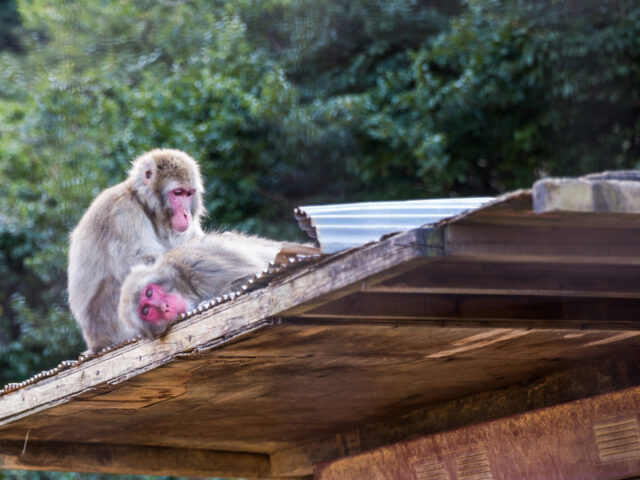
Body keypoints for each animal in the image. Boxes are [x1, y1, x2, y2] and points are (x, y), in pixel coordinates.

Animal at [68, 149, 205, 352]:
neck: (144, 204)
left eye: (189, 194)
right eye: (178, 193)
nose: (186, 214)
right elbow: (141, 261)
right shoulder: (122, 214)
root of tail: (95, 343)